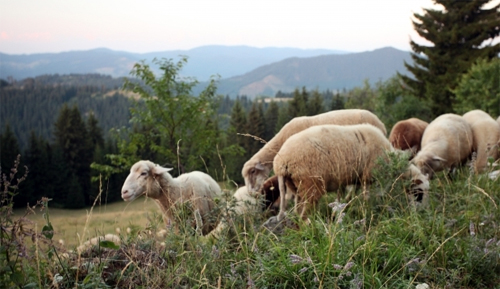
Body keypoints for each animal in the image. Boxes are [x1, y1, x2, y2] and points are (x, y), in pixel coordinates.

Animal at [268, 123, 428, 220]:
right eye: (418, 192)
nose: (421, 212)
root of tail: (281, 162)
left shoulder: (357, 178)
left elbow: (350, 194)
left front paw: (345, 204)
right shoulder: (369, 176)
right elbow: (368, 196)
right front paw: (368, 208)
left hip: (295, 186)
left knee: (297, 210)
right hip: (312, 184)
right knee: (304, 214)